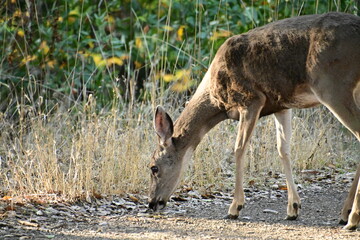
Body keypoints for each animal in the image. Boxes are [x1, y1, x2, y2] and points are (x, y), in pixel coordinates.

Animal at [148, 12, 360, 230]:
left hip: (332, 86)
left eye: (153, 167)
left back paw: (352, 219)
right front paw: (293, 208)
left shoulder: (251, 99)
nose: (152, 203)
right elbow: (283, 149)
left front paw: (235, 207)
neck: (216, 100)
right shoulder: (281, 105)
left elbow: (239, 148)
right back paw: (344, 213)